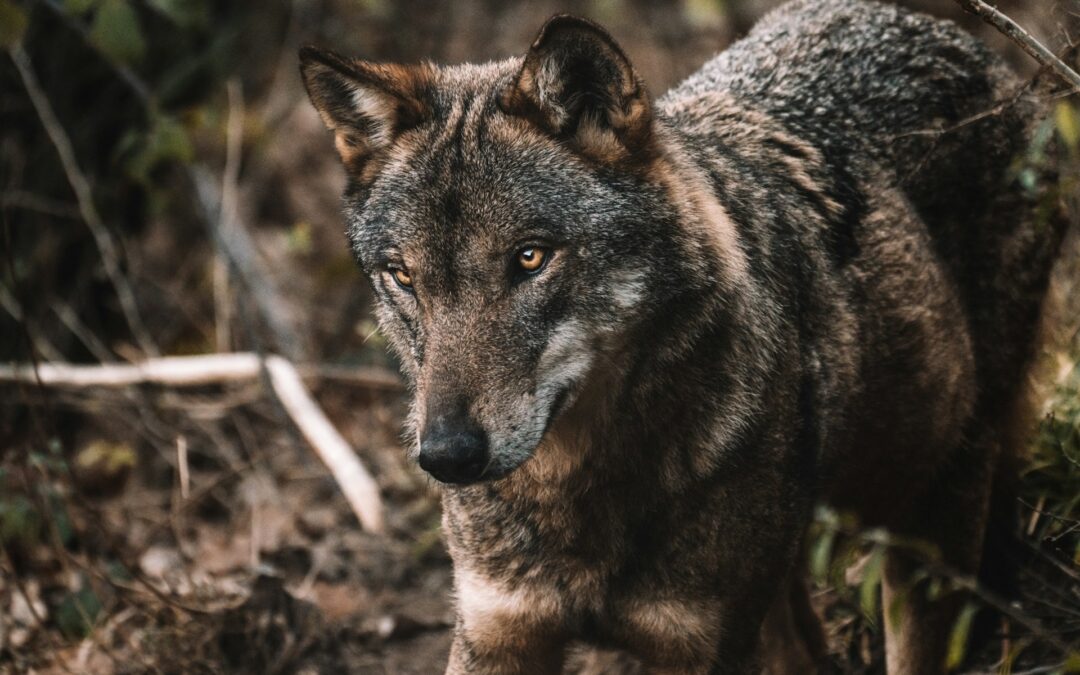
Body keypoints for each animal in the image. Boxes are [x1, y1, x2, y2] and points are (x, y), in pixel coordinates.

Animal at [300, 0, 1066, 671]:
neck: (579, 492)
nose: (448, 456)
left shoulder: (702, 646)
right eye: (403, 276)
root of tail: (947, 32)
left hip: (931, 514)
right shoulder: (498, 634)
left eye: (530, 257)